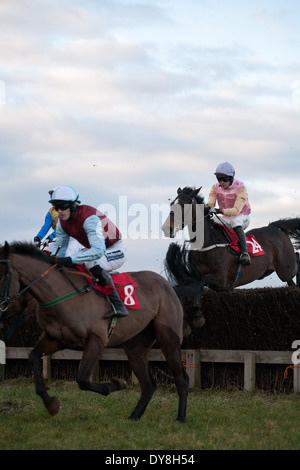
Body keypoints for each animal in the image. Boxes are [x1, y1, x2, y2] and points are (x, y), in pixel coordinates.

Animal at [0, 242, 189, 422]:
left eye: (2, 275)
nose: (2, 311)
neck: (61, 295)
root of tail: (166, 284)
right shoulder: (55, 339)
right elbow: (33, 356)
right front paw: (50, 403)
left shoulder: (96, 340)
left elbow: (83, 379)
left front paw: (117, 384)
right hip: (135, 346)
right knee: (148, 384)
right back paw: (134, 416)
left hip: (168, 338)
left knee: (181, 378)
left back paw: (180, 418)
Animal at [162, 186, 300, 324]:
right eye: (171, 204)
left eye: (183, 205)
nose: (166, 228)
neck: (208, 241)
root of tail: (275, 227)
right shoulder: (199, 274)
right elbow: (194, 286)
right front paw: (193, 316)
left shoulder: (221, 279)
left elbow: (199, 283)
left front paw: (196, 316)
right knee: (291, 283)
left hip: (286, 269)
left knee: (296, 263)